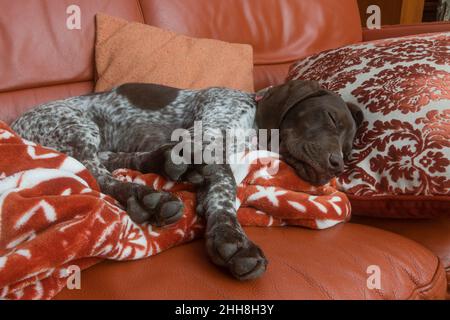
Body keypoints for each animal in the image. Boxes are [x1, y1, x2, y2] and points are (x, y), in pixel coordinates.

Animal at [11, 79, 362, 280]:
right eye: (331, 117)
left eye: (348, 150)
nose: (336, 165)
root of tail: (13, 124)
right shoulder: (203, 139)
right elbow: (225, 185)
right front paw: (232, 239)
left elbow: (220, 189)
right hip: (77, 126)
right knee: (96, 173)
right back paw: (145, 196)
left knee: (116, 162)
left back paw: (159, 164)